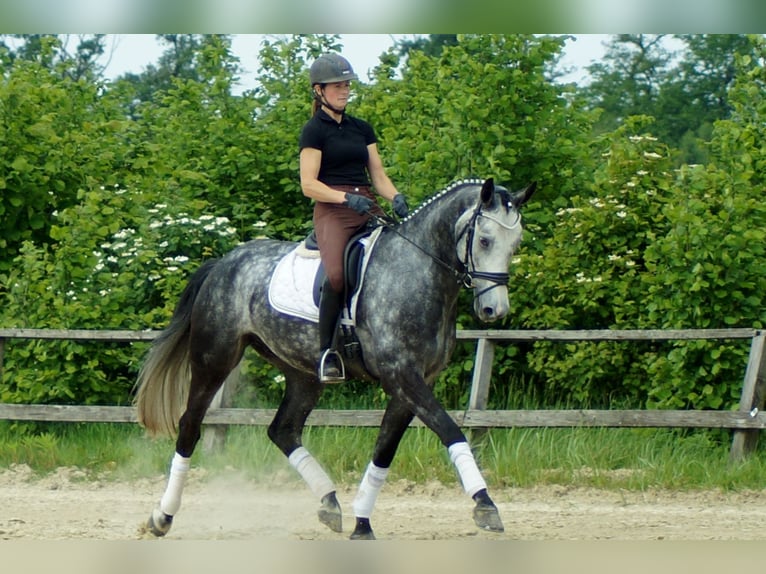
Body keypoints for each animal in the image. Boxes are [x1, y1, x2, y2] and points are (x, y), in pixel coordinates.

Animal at [135, 178, 536, 544]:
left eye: (515, 244)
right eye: (485, 240)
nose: (494, 311)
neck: (417, 271)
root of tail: (222, 264)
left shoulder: (414, 382)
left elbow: (384, 449)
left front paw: (363, 523)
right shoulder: (402, 375)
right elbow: (451, 431)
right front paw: (485, 505)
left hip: (301, 372)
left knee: (282, 429)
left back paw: (329, 503)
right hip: (214, 358)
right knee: (190, 426)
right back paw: (162, 517)